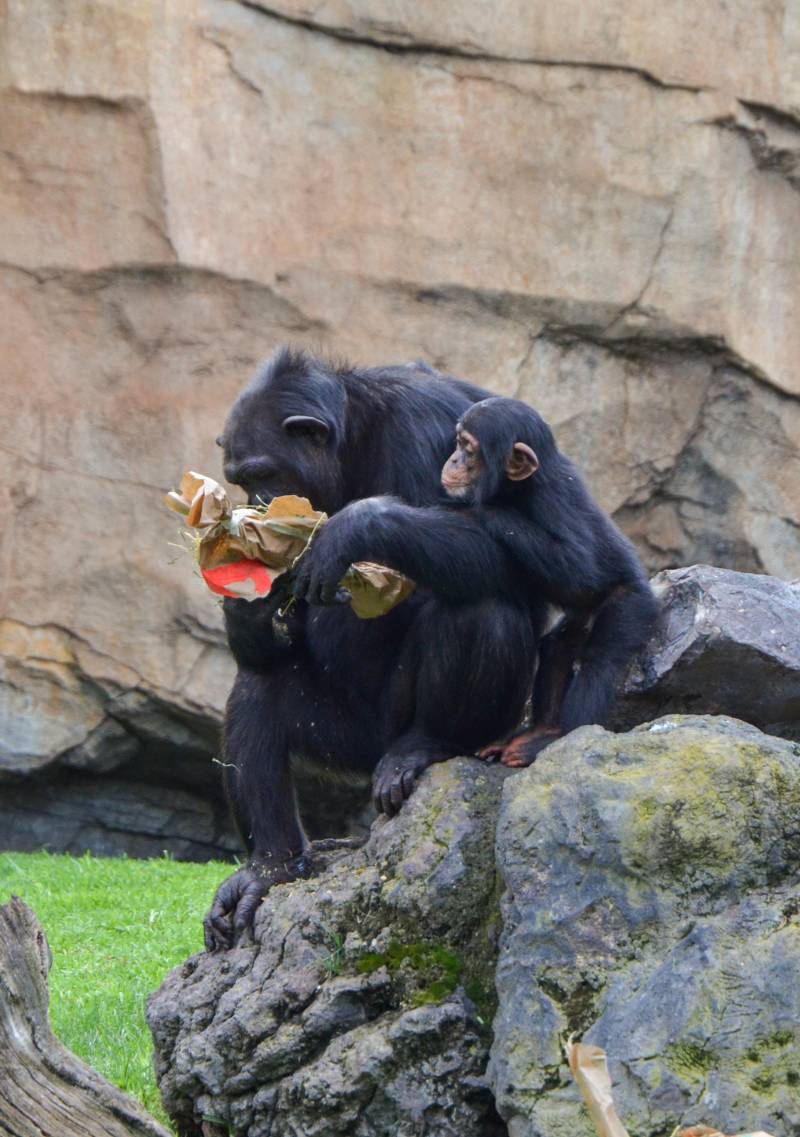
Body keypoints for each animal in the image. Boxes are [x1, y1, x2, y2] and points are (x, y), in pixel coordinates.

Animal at [204, 347, 550, 950]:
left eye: (264, 474)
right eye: (240, 480)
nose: (257, 506)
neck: (354, 441)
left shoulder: (426, 432)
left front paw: (354, 530)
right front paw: (252, 602)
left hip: (460, 729)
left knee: (484, 607)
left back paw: (426, 745)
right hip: (345, 741)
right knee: (257, 689)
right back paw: (268, 868)